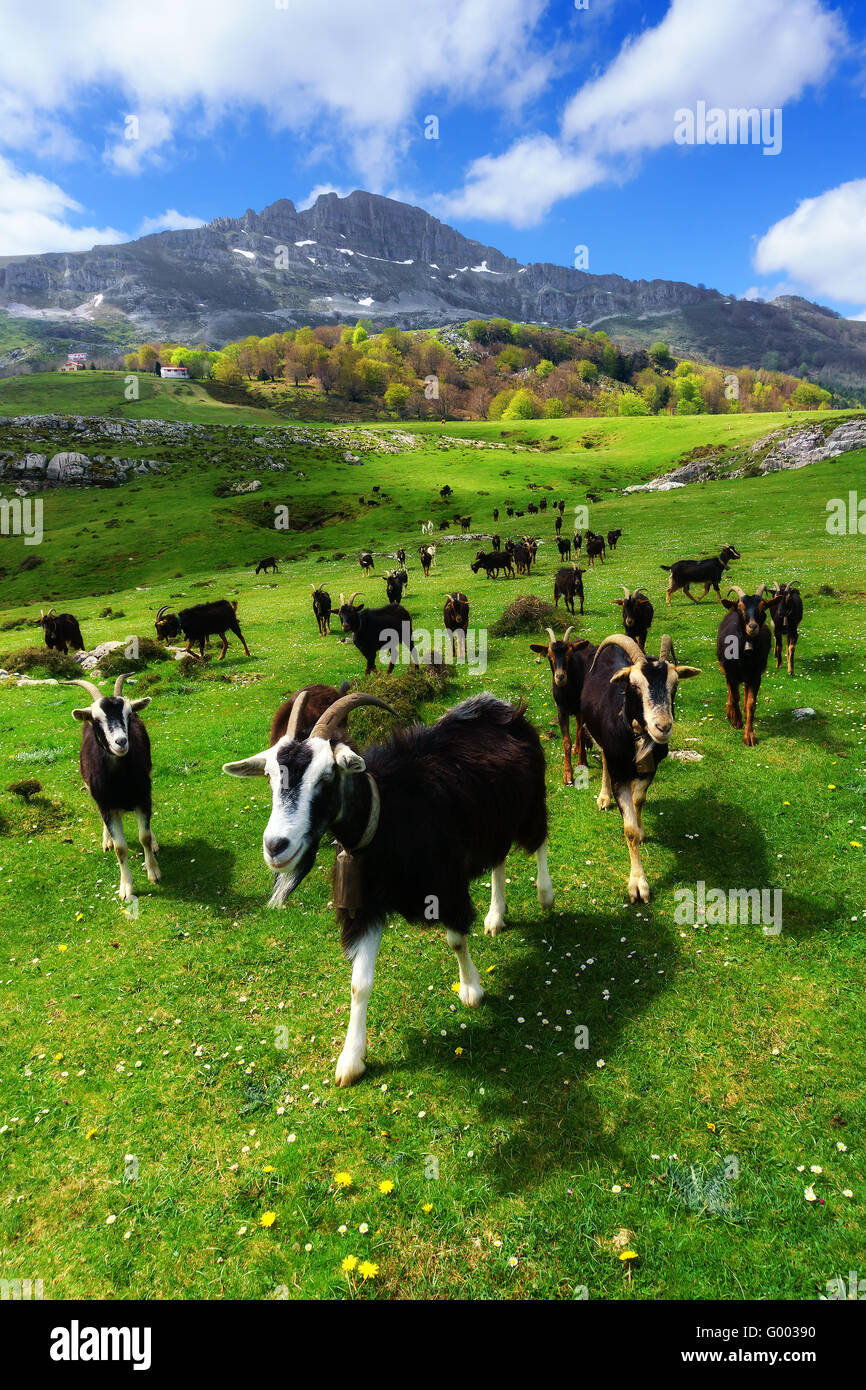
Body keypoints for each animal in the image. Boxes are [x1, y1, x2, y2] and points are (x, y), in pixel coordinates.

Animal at [68, 674, 159, 901]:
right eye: (96, 720)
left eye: (129, 714)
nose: (121, 742)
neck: (120, 781)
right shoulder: (106, 805)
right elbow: (121, 848)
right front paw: (126, 888)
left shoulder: (143, 797)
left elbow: (144, 837)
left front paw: (153, 871)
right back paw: (106, 840)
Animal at [223, 690, 555, 1086]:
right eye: (270, 776)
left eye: (326, 777)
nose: (276, 846)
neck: (386, 815)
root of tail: (502, 708)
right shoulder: (365, 907)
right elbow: (359, 982)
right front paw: (351, 1061)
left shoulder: (446, 886)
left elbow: (456, 939)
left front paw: (472, 990)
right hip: (493, 823)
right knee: (499, 860)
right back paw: (495, 916)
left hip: (530, 803)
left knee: (539, 840)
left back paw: (546, 895)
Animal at [530, 626, 594, 785]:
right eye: (549, 655)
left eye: (570, 654)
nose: (560, 677)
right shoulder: (561, 709)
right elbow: (566, 741)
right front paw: (568, 775)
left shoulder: (581, 708)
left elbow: (581, 732)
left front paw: (582, 762)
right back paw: (576, 749)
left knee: (579, 728)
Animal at [580, 633, 701, 901]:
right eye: (633, 685)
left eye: (675, 685)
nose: (663, 727)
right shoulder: (619, 774)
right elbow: (629, 830)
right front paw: (638, 885)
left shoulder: (651, 768)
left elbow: (639, 800)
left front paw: (642, 827)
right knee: (604, 759)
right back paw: (603, 798)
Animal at [716, 585, 772, 746]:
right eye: (740, 607)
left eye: (763, 606)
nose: (752, 627)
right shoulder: (730, 673)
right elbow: (735, 697)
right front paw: (737, 721)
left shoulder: (756, 675)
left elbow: (751, 703)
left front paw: (749, 735)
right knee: (731, 691)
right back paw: (730, 712)